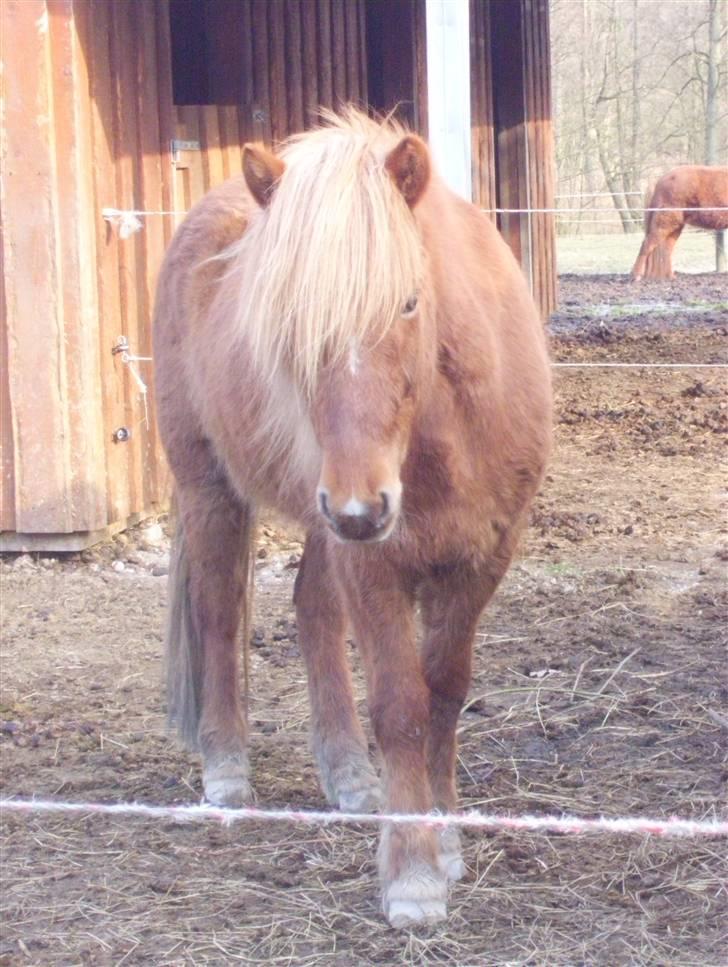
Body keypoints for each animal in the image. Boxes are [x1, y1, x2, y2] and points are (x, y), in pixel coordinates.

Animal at [154, 111, 552, 932]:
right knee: (217, 613)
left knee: (310, 609)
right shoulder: (375, 566)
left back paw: (347, 775)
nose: (364, 508)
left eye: (408, 303)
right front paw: (414, 876)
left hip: (322, 521)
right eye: (290, 324)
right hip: (217, 488)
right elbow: (400, 706)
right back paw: (227, 770)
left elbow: (445, 692)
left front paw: (445, 835)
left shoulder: (480, 561)